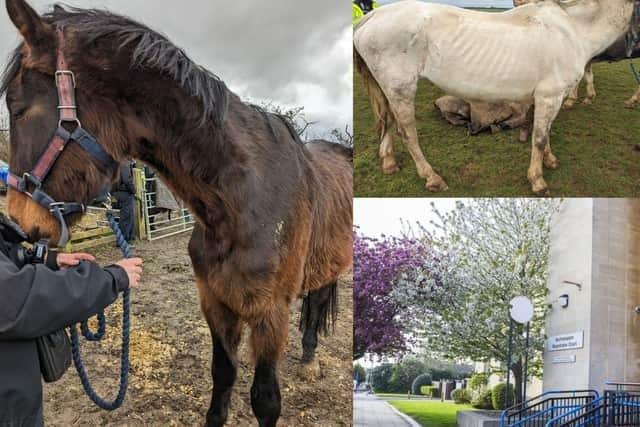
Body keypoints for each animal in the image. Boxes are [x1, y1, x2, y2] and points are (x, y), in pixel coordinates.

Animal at [1, 1, 353, 426]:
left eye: (20, 109)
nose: (19, 219)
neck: (243, 200)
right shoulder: (215, 304)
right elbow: (223, 376)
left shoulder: (270, 315)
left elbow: (266, 399)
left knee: (316, 305)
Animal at [354, 0, 637, 194]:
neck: (572, 30)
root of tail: (371, 16)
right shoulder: (549, 96)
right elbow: (539, 138)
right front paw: (537, 180)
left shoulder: (551, 99)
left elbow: (546, 133)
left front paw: (550, 161)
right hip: (401, 89)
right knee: (407, 133)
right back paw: (432, 178)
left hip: (389, 89)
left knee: (387, 121)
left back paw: (389, 163)